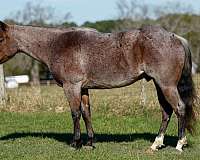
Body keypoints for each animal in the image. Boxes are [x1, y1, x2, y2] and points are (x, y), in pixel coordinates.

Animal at [0, 21, 197, 151]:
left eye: (1, 39)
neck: (55, 44)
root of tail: (175, 37)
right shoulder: (83, 88)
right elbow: (86, 113)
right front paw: (89, 142)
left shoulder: (71, 87)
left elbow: (75, 113)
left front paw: (76, 143)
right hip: (159, 85)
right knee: (166, 112)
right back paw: (156, 144)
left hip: (167, 85)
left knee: (179, 108)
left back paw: (180, 144)